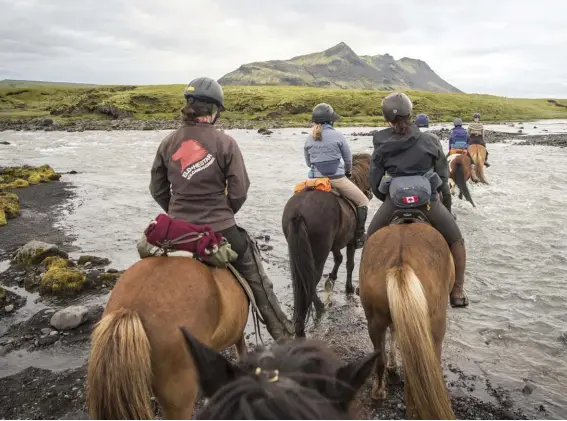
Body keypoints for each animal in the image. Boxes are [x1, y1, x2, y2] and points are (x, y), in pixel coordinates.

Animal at [282, 153, 372, 336]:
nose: (371, 193)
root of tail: (298, 212)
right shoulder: (350, 242)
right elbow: (350, 264)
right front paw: (349, 288)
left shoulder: (336, 243)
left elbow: (338, 258)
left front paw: (332, 277)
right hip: (319, 253)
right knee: (311, 280)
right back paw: (318, 309)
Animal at [360, 221, 458, 418]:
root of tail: (401, 260)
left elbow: (394, 332)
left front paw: (392, 364)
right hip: (435, 329)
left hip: (374, 322)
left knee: (380, 357)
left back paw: (379, 391)